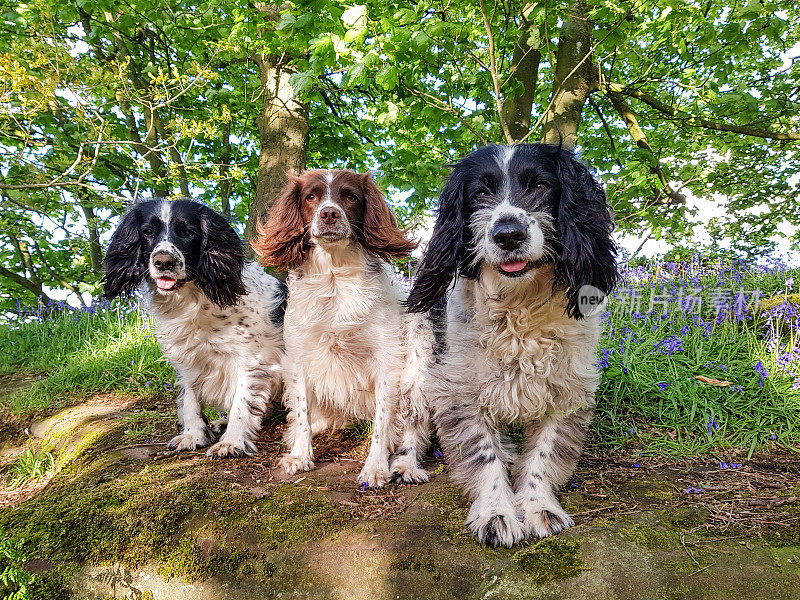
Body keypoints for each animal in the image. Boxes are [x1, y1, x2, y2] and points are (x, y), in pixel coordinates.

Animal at [102, 199, 284, 458]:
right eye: (148, 231)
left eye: (188, 232)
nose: (164, 261)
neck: (195, 299)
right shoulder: (187, 357)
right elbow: (189, 399)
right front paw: (194, 435)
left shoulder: (251, 360)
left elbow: (242, 403)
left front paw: (233, 441)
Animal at [253, 169, 434, 488]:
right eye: (311, 196)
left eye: (350, 196)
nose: (329, 214)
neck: (334, 278)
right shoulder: (298, 358)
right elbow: (301, 411)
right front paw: (300, 455)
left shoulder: (388, 361)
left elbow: (383, 422)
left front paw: (375, 467)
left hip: (418, 349)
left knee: (412, 426)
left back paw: (407, 465)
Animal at [406, 143, 620, 548]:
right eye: (479, 193)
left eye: (540, 185)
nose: (508, 234)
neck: (518, 306)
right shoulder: (459, 389)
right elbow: (481, 455)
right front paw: (497, 513)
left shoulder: (568, 389)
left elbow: (543, 455)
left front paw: (539, 507)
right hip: (417, 370)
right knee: (411, 423)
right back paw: (405, 465)